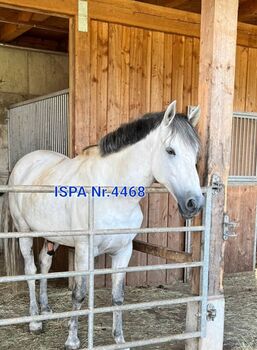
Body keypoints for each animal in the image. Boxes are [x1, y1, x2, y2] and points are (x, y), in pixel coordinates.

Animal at [8, 100, 202, 348]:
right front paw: (72, 340)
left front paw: (119, 340)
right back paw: (34, 321)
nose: (194, 203)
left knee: (44, 263)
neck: (111, 192)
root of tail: (26, 162)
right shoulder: (84, 250)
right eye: (170, 150)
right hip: (24, 232)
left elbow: (117, 297)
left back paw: (46, 309)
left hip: (53, 234)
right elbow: (79, 294)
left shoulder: (123, 251)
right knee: (31, 270)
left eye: (195, 153)